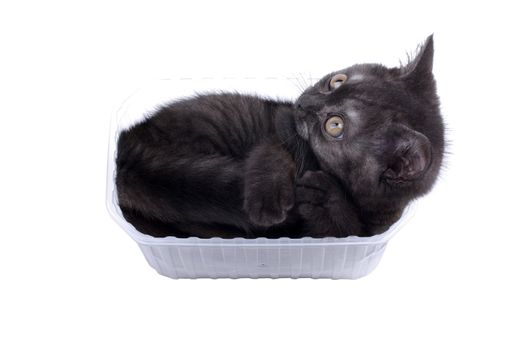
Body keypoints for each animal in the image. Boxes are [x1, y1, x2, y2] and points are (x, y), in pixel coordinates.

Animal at [115, 35, 446, 238]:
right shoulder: (280, 129)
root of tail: (128, 146)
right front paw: (269, 199)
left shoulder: (363, 234)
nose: (303, 103)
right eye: (336, 81)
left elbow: (340, 227)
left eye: (335, 125)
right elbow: (274, 154)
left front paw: (325, 197)